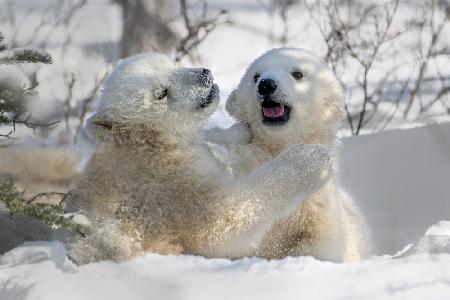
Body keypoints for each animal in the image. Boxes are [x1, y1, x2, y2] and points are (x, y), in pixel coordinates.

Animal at [67, 52, 334, 264]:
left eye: (172, 61)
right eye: (162, 93)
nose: (204, 74)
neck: (148, 146)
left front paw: (239, 132)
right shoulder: (171, 189)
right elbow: (222, 222)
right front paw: (310, 159)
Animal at [207, 48, 370, 262]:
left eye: (298, 74)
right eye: (256, 76)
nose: (266, 85)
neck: (276, 147)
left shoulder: (317, 205)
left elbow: (320, 240)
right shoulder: (241, 161)